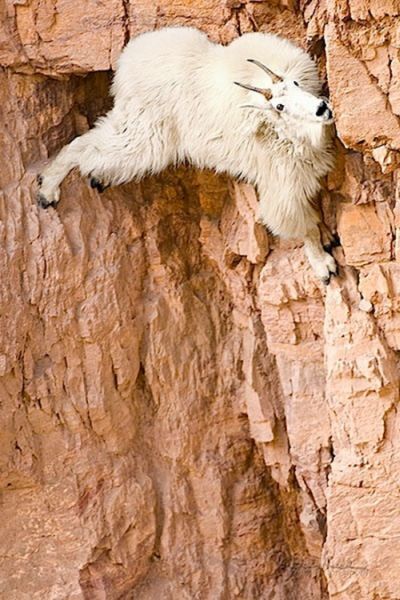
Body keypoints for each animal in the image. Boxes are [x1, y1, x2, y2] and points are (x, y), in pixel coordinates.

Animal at [37, 26, 338, 284]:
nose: (322, 108)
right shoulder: (282, 183)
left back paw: (97, 178)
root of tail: (126, 64)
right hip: (145, 137)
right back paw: (47, 190)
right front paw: (325, 265)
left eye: (296, 82)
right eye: (279, 106)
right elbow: (302, 226)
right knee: (85, 148)